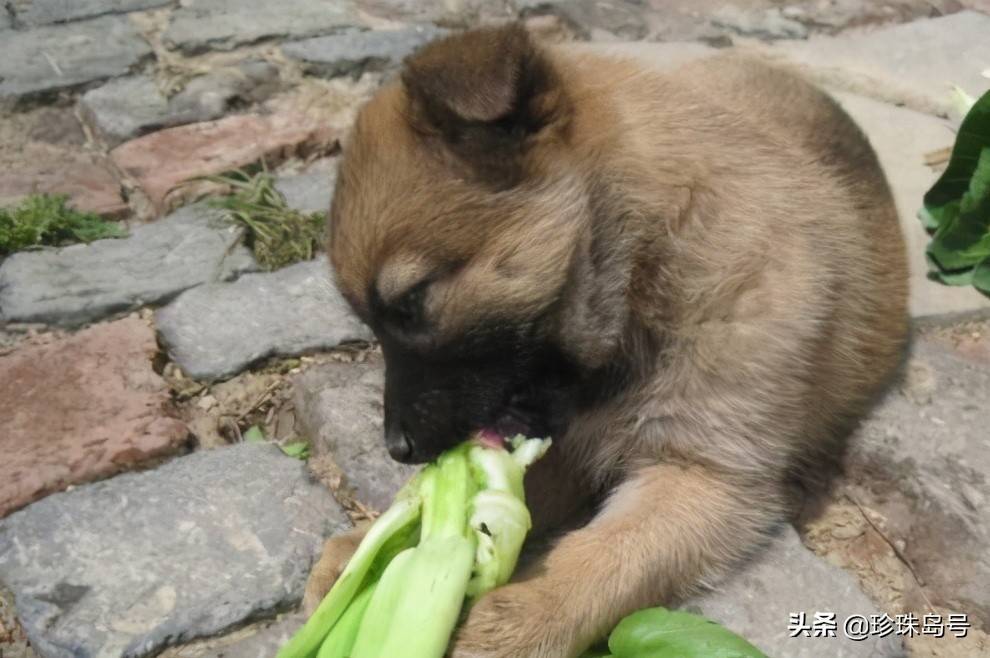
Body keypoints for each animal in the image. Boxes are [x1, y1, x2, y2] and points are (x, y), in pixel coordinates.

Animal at [306, 24, 912, 656]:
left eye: (411, 301)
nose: (397, 449)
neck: (649, 273)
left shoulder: (703, 478)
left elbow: (610, 555)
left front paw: (525, 617)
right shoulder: (557, 436)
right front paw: (375, 544)